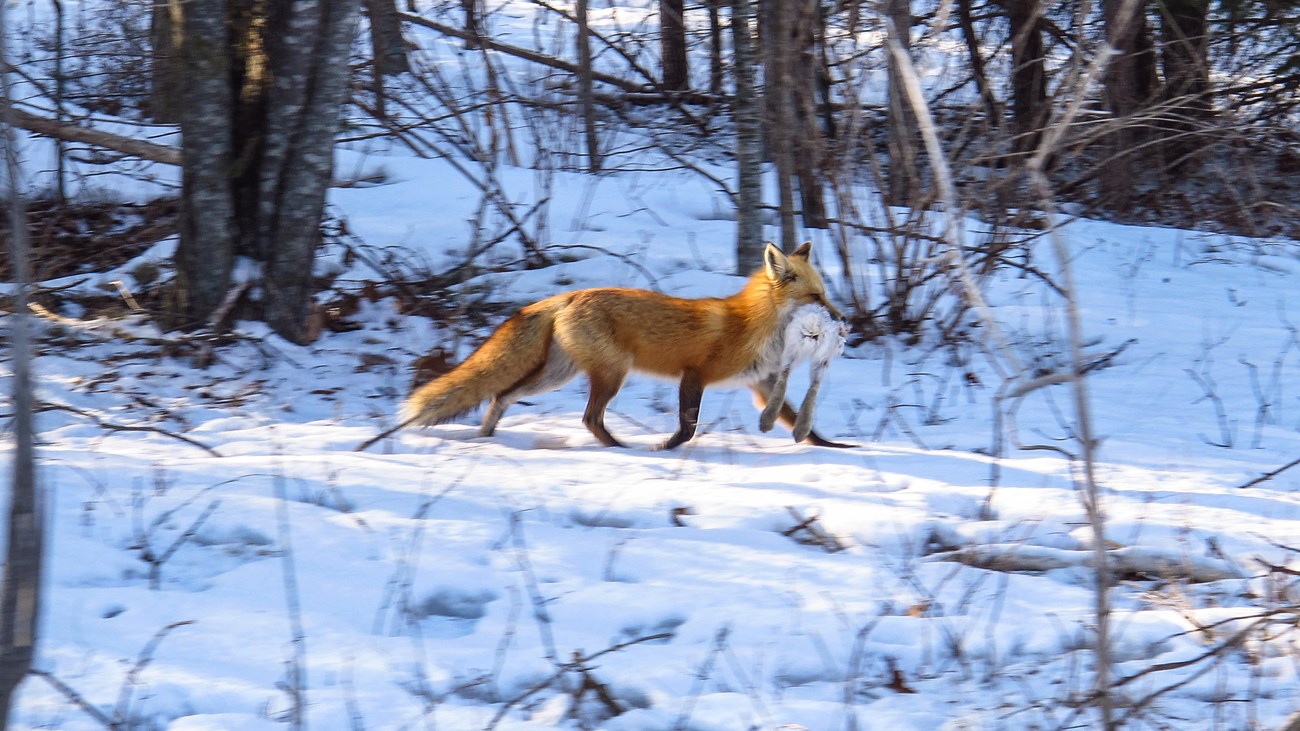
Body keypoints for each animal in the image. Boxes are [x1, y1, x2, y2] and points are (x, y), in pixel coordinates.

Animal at [379, 241, 847, 447]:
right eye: (817, 297)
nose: (844, 322)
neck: (754, 326)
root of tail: (568, 296)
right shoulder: (694, 375)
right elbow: (688, 427)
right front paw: (666, 448)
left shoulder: (762, 384)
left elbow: (803, 425)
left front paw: (833, 448)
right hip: (612, 374)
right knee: (589, 419)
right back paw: (621, 449)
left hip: (556, 376)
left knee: (501, 395)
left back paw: (487, 436)